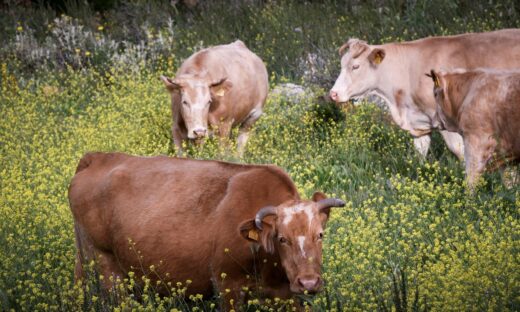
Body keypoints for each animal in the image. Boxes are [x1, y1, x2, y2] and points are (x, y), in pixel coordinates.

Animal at [69, 152, 346, 310]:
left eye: (320, 235)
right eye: (281, 239)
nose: (309, 282)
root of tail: (98, 157)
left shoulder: (286, 294)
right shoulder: (227, 287)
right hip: (104, 266)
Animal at [330, 29, 520, 160]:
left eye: (355, 66)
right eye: (341, 64)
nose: (333, 93)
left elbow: (459, 150)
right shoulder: (419, 123)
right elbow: (420, 153)